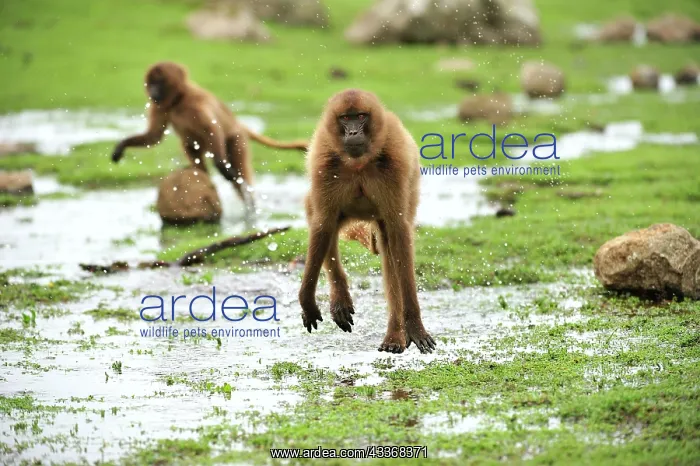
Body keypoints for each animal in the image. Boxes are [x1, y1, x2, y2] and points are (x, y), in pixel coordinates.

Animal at [111, 61, 307, 213]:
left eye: (158, 83)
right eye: (151, 84)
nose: (152, 92)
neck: (178, 100)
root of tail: (238, 124)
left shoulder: (196, 102)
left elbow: (212, 128)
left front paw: (221, 165)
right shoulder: (160, 107)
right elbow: (154, 137)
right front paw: (120, 147)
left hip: (235, 139)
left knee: (239, 174)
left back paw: (249, 205)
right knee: (191, 149)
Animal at [298, 89, 436, 354]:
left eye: (361, 116)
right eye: (345, 118)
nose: (353, 133)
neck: (359, 164)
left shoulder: (395, 164)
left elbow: (399, 233)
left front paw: (415, 327)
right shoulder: (324, 163)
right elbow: (322, 225)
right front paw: (307, 301)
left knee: (391, 247)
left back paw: (395, 334)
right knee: (322, 218)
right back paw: (340, 298)